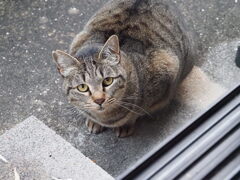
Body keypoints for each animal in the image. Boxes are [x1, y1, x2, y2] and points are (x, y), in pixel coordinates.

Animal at [51, 0, 196, 137]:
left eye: (108, 80)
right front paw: (93, 120)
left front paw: (126, 124)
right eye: (82, 87)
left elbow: (137, 111)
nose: (99, 100)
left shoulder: (167, 68)